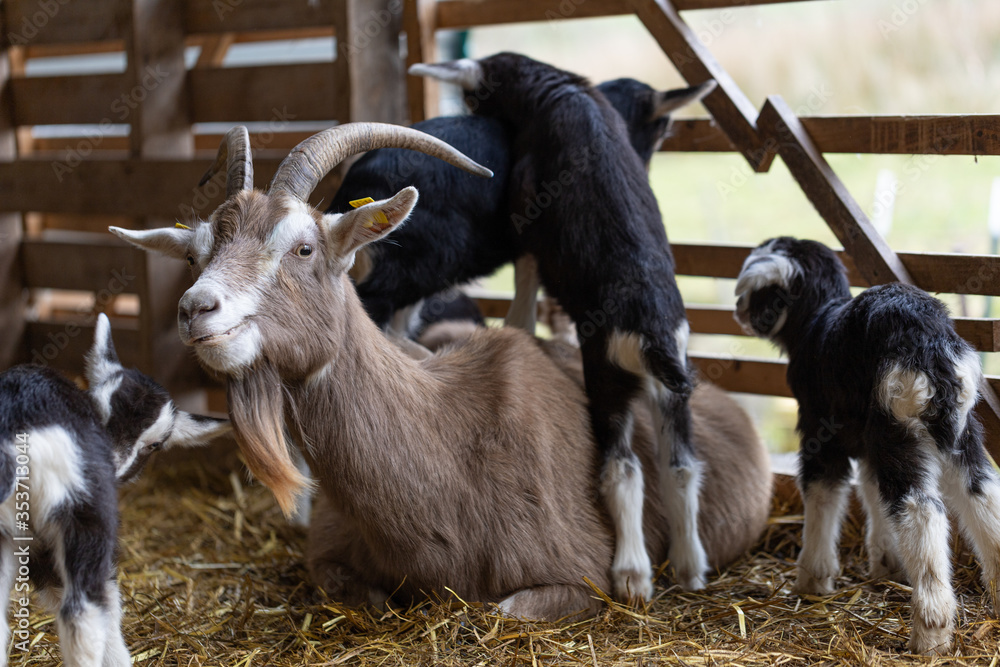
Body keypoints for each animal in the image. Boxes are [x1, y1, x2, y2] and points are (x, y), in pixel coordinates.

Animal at [111, 122, 764, 621]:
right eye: (195, 254)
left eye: (303, 247)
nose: (197, 310)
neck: (452, 440)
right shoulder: (328, 554)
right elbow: (360, 593)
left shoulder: (580, 574)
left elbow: (503, 611)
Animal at [412, 53, 717, 599]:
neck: (556, 91)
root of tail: (653, 336)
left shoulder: (527, 213)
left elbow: (526, 278)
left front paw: (517, 328)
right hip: (674, 391)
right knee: (681, 468)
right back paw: (690, 566)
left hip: (608, 378)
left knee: (623, 469)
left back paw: (632, 574)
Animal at [734, 236, 1000, 655]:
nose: (738, 311)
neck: (813, 322)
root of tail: (929, 343)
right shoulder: (869, 441)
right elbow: (871, 492)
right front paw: (886, 564)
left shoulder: (820, 432)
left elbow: (822, 496)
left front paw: (813, 579)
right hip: (958, 433)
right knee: (984, 494)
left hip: (900, 428)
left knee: (920, 512)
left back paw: (931, 632)